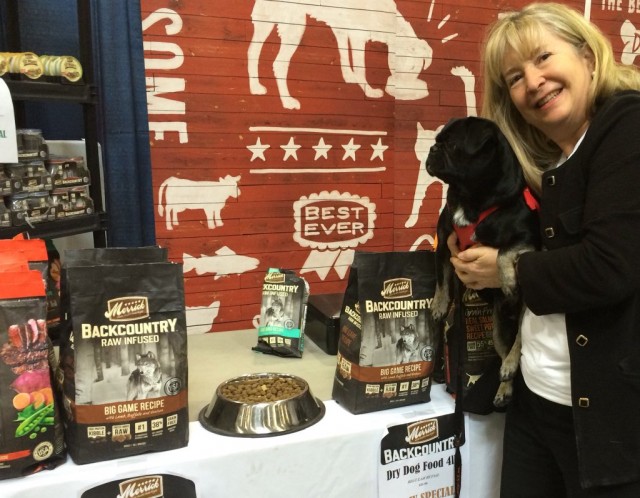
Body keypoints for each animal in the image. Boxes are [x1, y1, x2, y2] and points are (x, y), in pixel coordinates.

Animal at [424, 116, 540, 408]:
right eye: (437, 141)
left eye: (452, 145)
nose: (432, 150)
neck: (471, 198)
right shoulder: (445, 244)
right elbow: (442, 278)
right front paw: (439, 306)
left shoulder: (527, 239)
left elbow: (503, 253)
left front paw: (508, 281)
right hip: (498, 332)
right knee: (506, 349)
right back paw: (503, 389)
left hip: (524, 316)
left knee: (519, 343)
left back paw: (509, 365)